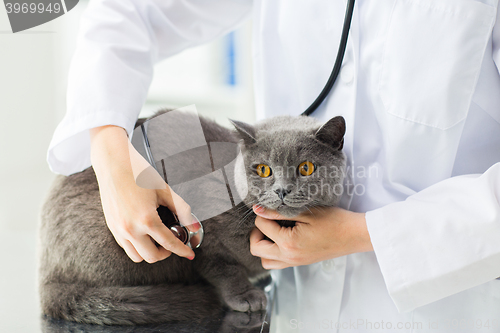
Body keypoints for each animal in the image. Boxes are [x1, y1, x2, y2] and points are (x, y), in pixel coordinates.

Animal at [39, 110, 346, 322]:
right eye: (263, 170)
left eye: (306, 168)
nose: (282, 190)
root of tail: (47, 275)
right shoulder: (207, 238)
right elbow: (222, 267)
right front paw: (245, 296)